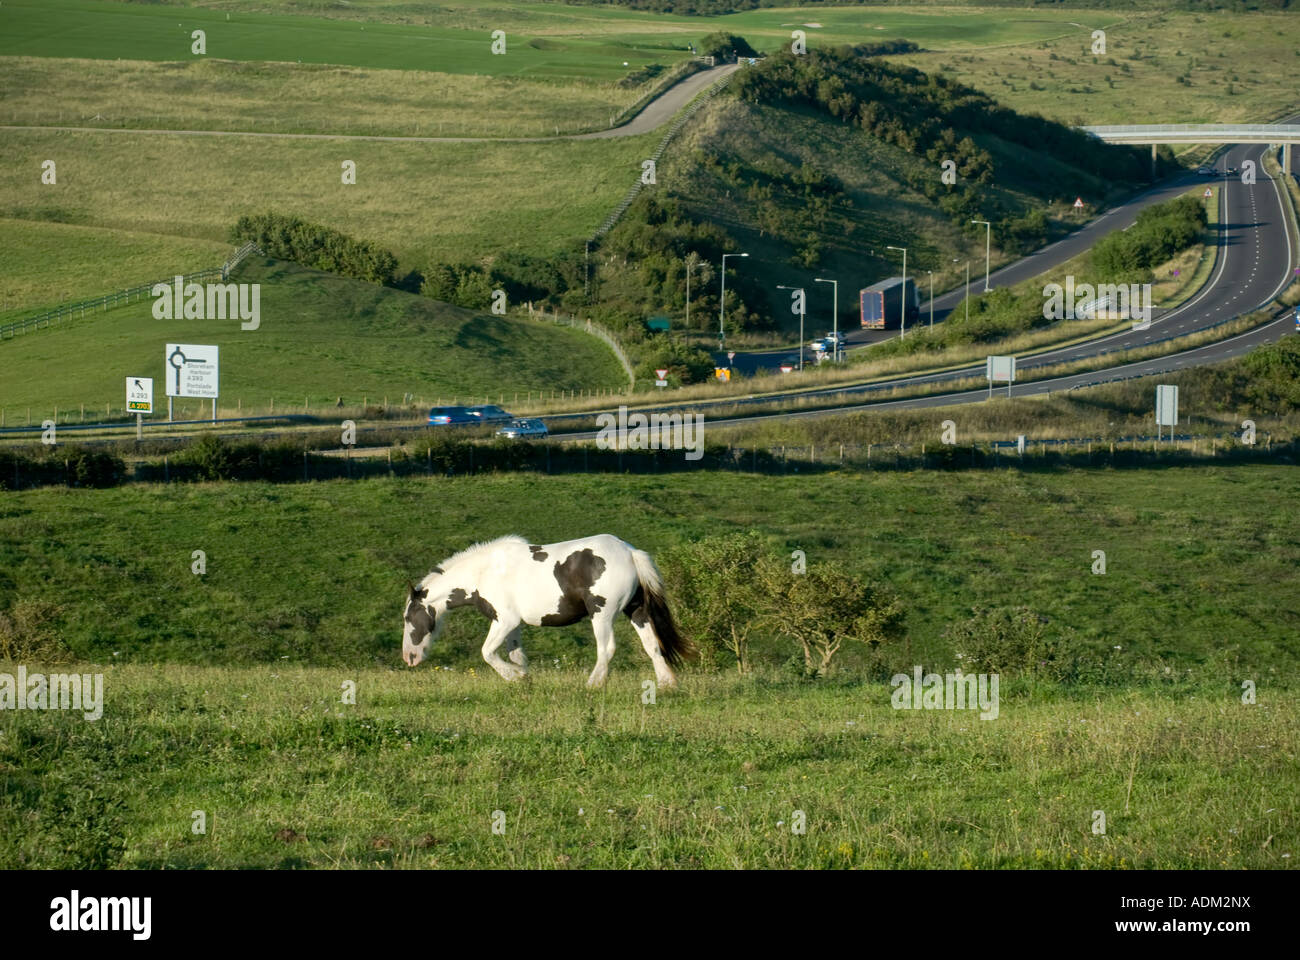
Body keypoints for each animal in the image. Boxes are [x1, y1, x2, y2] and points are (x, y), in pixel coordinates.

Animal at [402, 534, 695, 689]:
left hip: (602, 614)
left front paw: (514, 677)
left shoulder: (504, 620)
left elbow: (488, 653)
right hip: (636, 611)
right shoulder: (513, 625)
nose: (409, 658)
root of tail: (630, 553)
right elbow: (516, 655)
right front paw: (524, 680)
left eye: (408, 617)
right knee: (652, 645)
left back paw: (592, 684)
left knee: (607, 649)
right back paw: (667, 684)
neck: (484, 573)